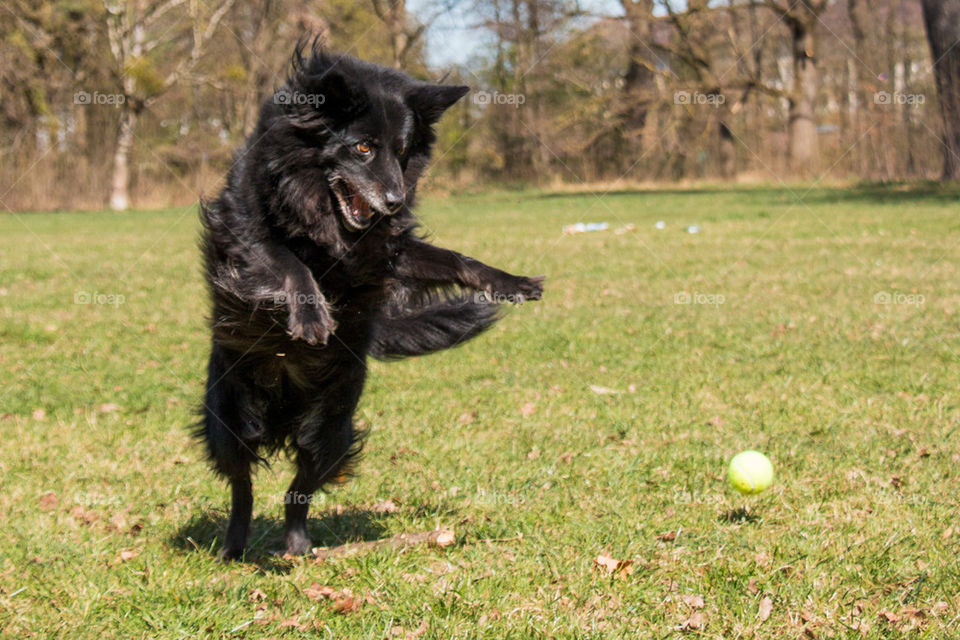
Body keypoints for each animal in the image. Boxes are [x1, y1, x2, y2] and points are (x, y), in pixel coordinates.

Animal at [197, 46, 540, 560]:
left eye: (401, 151)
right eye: (362, 148)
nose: (396, 201)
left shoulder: (384, 253)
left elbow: (455, 261)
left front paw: (510, 282)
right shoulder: (242, 236)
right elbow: (288, 262)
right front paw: (313, 316)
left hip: (330, 429)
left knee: (299, 488)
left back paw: (299, 547)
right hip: (232, 420)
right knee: (244, 486)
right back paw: (235, 545)